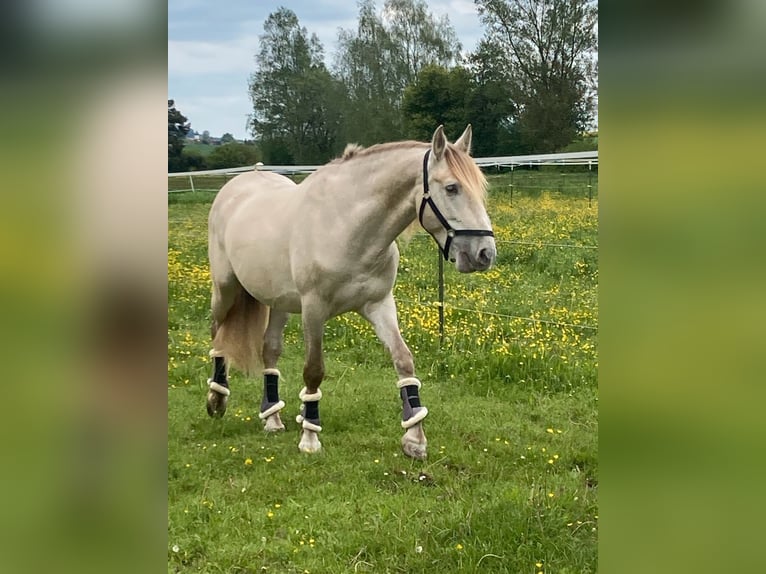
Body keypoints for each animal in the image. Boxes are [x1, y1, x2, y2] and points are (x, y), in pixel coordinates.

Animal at [204, 126, 496, 464]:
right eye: (451, 188)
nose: (485, 254)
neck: (346, 225)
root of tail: (237, 185)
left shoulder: (379, 305)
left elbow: (403, 361)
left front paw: (414, 438)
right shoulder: (314, 310)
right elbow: (314, 371)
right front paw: (310, 438)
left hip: (278, 303)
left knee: (270, 350)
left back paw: (272, 418)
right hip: (225, 289)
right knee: (218, 334)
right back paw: (216, 400)